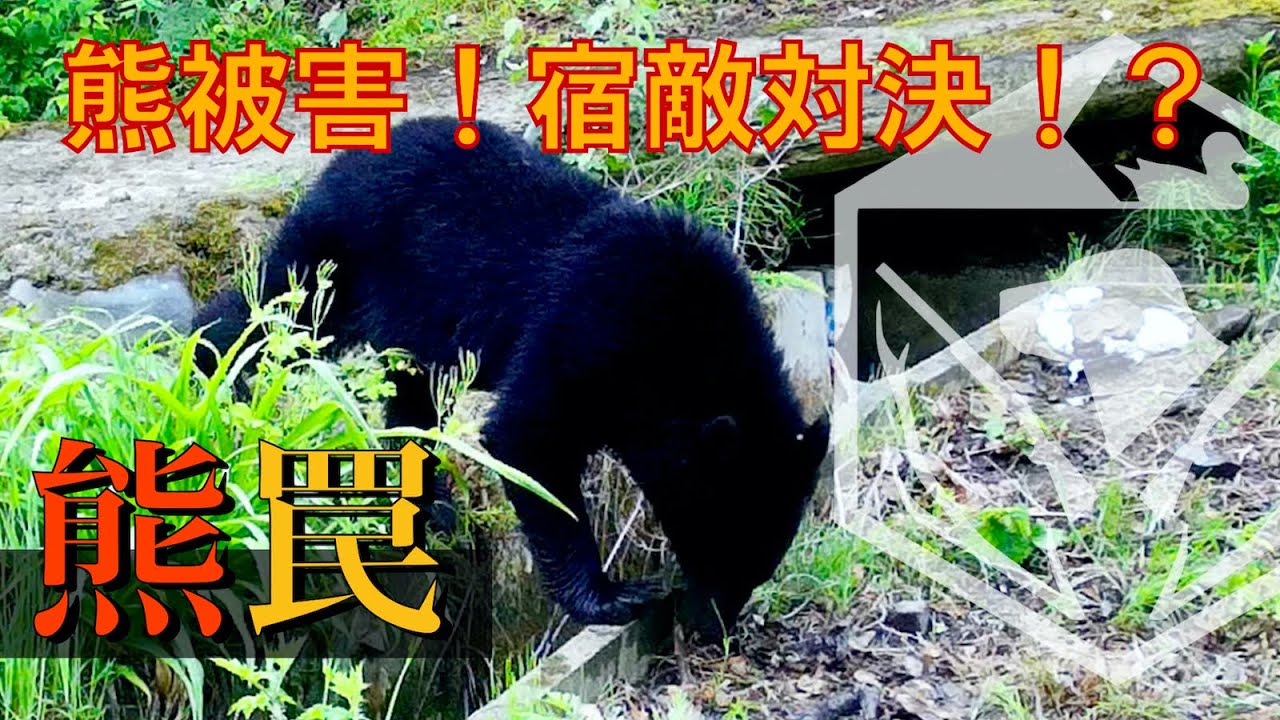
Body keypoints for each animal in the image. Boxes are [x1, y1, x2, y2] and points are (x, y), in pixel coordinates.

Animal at [195, 116, 829, 640]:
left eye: (762, 559)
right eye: (717, 544)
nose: (711, 630)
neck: (681, 340)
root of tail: (347, 157)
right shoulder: (586, 327)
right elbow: (527, 437)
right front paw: (615, 596)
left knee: (412, 396)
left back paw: (432, 502)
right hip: (340, 249)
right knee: (272, 308)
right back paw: (209, 373)